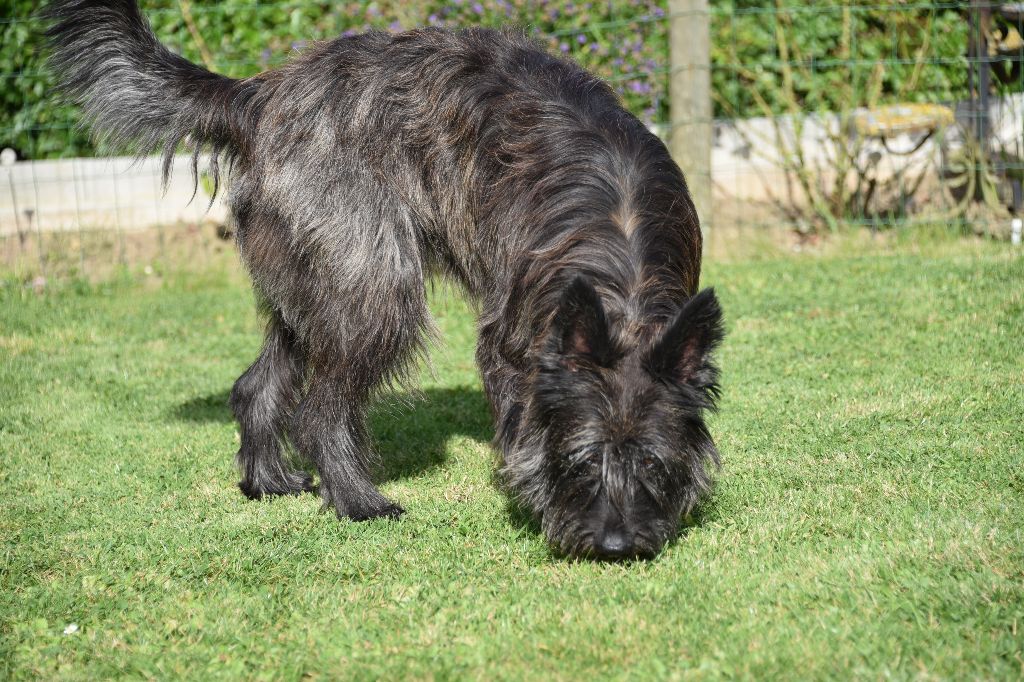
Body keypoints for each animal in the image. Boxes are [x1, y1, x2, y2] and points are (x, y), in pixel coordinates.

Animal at [46, 0, 720, 557]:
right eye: (581, 461)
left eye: (655, 465)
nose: (615, 545)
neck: (621, 267)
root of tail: (258, 98)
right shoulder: (510, 336)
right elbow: (519, 415)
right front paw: (533, 488)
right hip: (374, 287)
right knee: (320, 411)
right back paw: (356, 500)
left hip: (315, 289)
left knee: (256, 385)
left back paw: (267, 481)